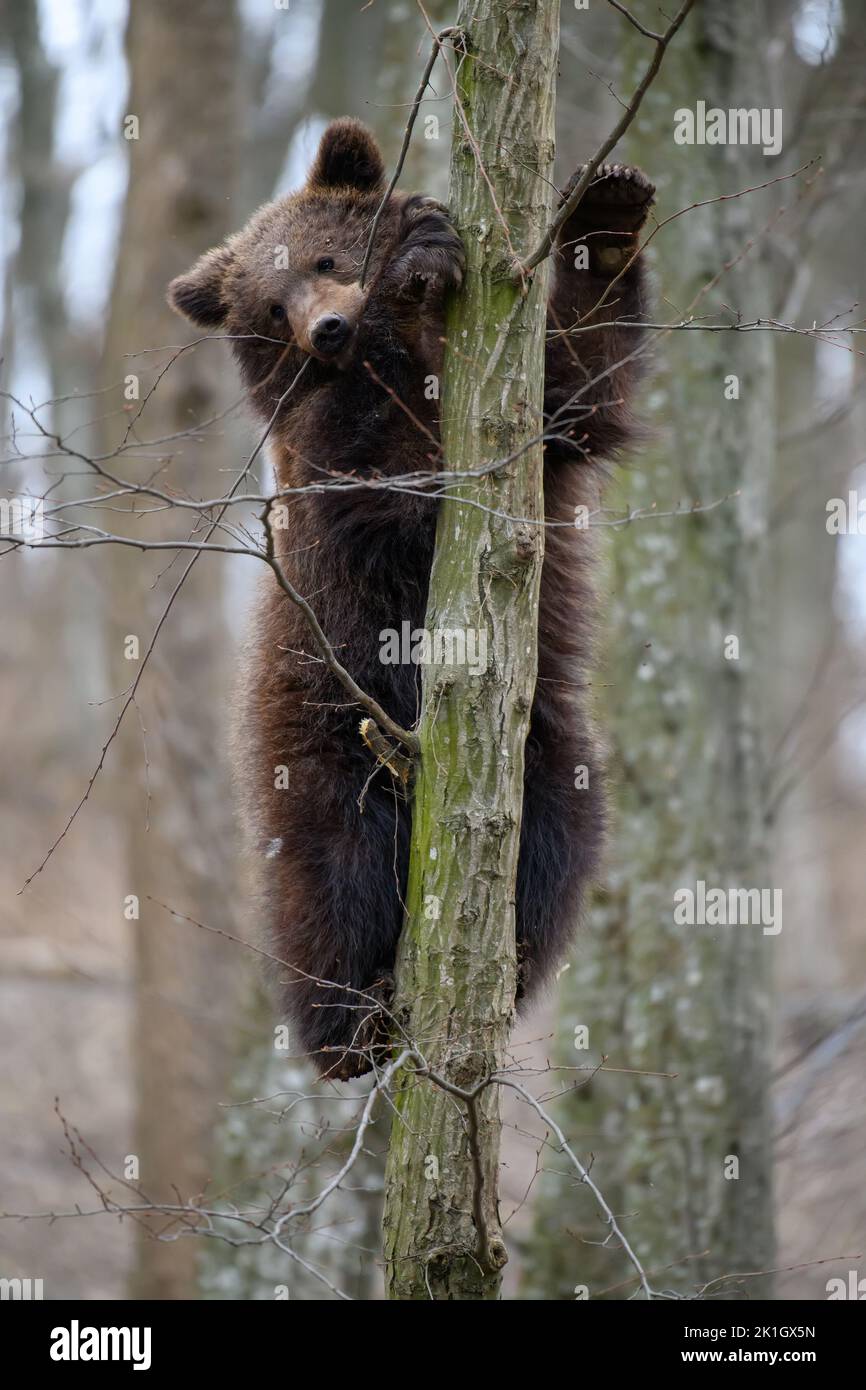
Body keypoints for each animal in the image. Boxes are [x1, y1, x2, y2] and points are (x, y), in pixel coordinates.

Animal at [168, 118, 653, 1080]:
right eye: (269, 307)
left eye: (324, 255)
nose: (326, 327)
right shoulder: (327, 464)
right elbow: (387, 479)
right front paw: (415, 265)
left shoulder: (527, 418)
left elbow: (579, 382)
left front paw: (609, 210)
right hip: (325, 736)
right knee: (334, 878)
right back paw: (351, 1021)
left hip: (546, 746)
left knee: (557, 848)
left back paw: (509, 965)